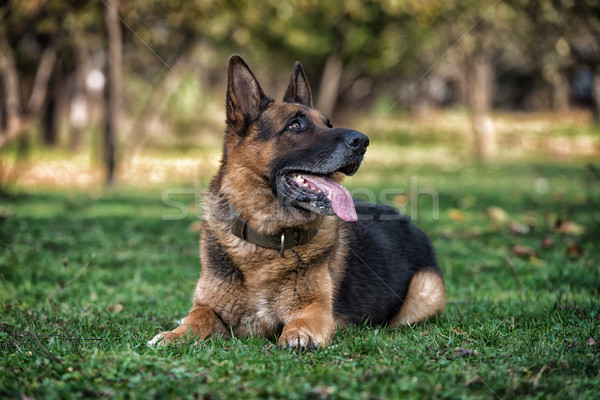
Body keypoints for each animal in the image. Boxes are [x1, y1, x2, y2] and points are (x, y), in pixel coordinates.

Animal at [149, 54, 446, 348]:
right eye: (295, 125)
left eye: (328, 124)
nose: (362, 141)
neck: (265, 242)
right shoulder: (210, 305)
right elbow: (197, 315)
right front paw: (175, 334)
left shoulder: (315, 308)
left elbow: (302, 320)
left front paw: (299, 335)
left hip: (423, 294)